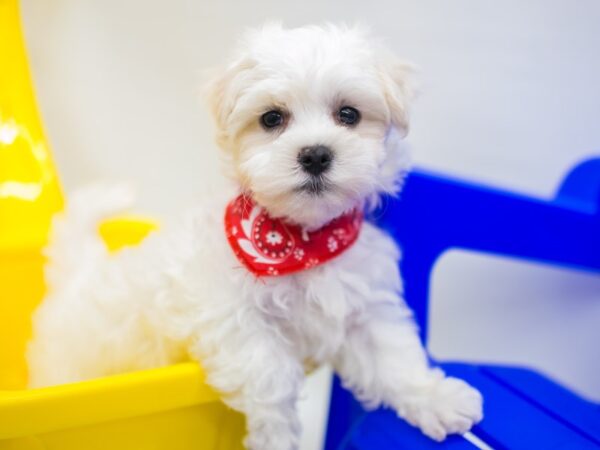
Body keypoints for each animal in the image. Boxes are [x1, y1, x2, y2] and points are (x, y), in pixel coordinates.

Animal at [30, 23, 486, 450]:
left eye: (349, 114)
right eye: (271, 118)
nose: (315, 154)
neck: (304, 240)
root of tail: (78, 279)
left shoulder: (361, 302)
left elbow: (393, 353)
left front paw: (437, 398)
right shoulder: (229, 314)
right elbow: (272, 377)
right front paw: (277, 437)